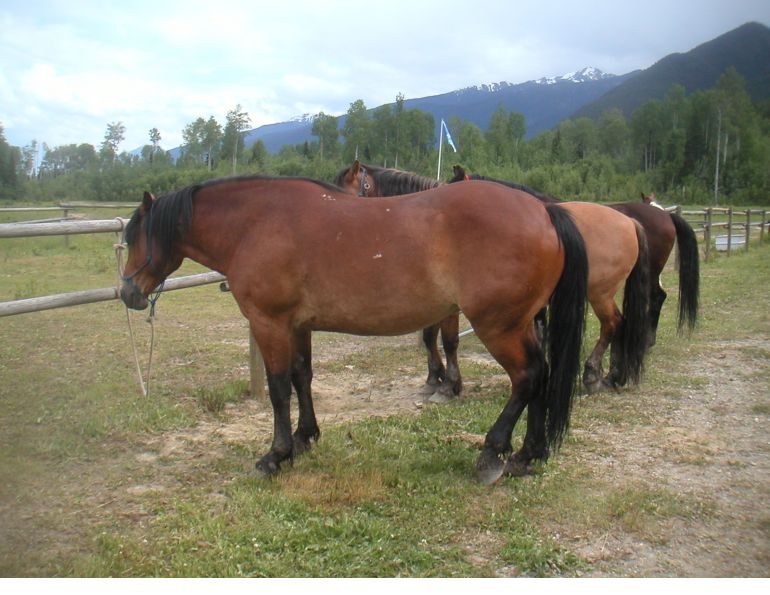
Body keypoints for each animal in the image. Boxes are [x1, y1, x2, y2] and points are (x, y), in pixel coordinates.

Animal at [120, 175, 589, 484]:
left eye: (135, 237)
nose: (128, 292)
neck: (257, 223)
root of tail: (544, 210)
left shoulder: (269, 323)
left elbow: (277, 389)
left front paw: (276, 455)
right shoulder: (297, 326)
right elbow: (301, 377)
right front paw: (305, 437)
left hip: (499, 326)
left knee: (527, 376)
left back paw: (493, 453)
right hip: (522, 323)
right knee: (543, 376)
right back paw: (528, 455)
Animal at [335, 161, 651, 394]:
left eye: (355, 190)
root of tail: (628, 221)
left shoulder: (451, 306)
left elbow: (449, 339)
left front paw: (450, 384)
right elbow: (429, 336)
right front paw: (434, 377)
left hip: (600, 293)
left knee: (612, 324)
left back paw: (593, 374)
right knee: (620, 324)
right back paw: (613, 375)